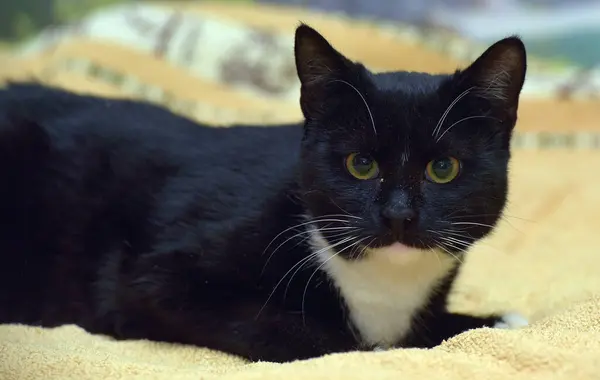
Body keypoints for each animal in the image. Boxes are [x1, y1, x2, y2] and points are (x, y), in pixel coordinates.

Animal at [0, 23, 528, 362]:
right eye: (361, 165)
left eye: (443, 168)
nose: (399, 215)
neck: (380, 285)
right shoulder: (151, 278)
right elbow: (303, 333)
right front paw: (371, 348)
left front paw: (495, 320)